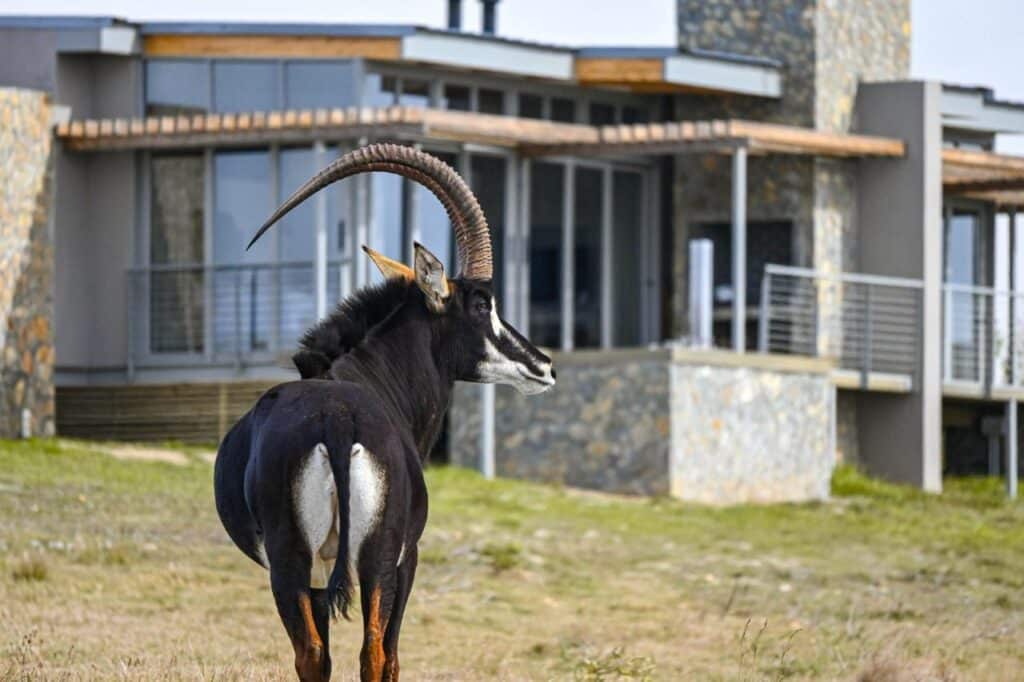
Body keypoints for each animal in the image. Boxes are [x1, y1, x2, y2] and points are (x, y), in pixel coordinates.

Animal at [214, 144, 555, 681]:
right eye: (482, 305)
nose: (543, 365)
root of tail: (335, 420)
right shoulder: (407, 556)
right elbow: (391, 654)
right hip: (373, 558)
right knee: (374, 654)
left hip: (295, 564)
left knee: (313, 655)